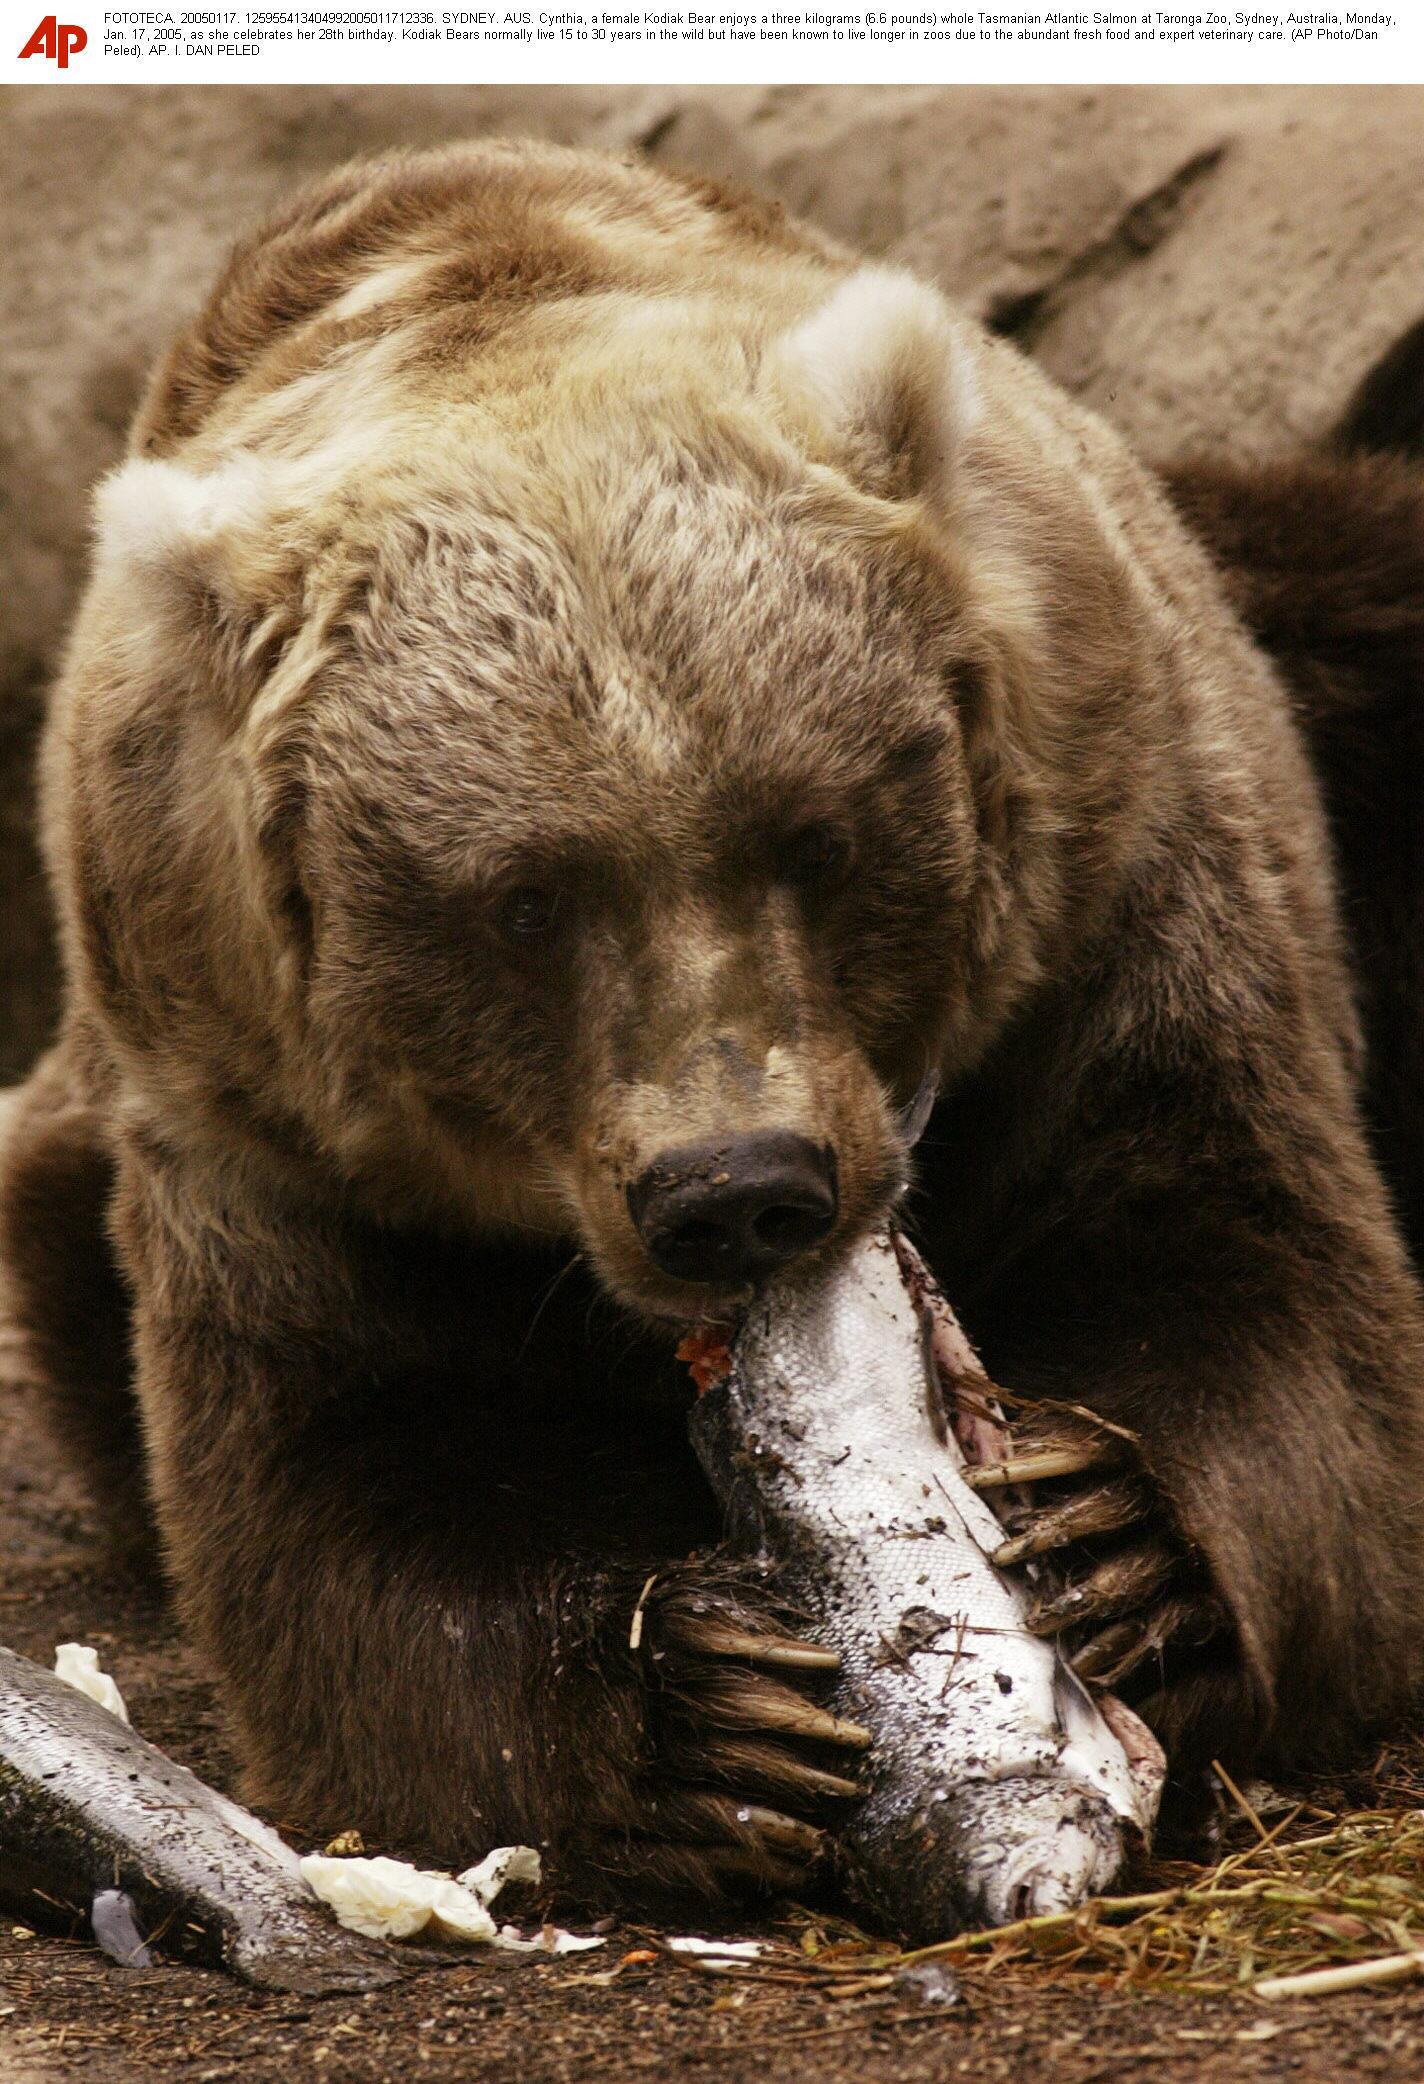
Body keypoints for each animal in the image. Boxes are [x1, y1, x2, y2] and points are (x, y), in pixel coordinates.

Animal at [2, 142, 1424, 1908]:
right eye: (524, 900)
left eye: (812, 834)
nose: (739, 1188)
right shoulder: (262, 1107)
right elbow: (354, 1477)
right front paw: (716, 1709)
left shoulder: (1117, 885)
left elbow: (1247, 1268)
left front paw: (1104, 1533)